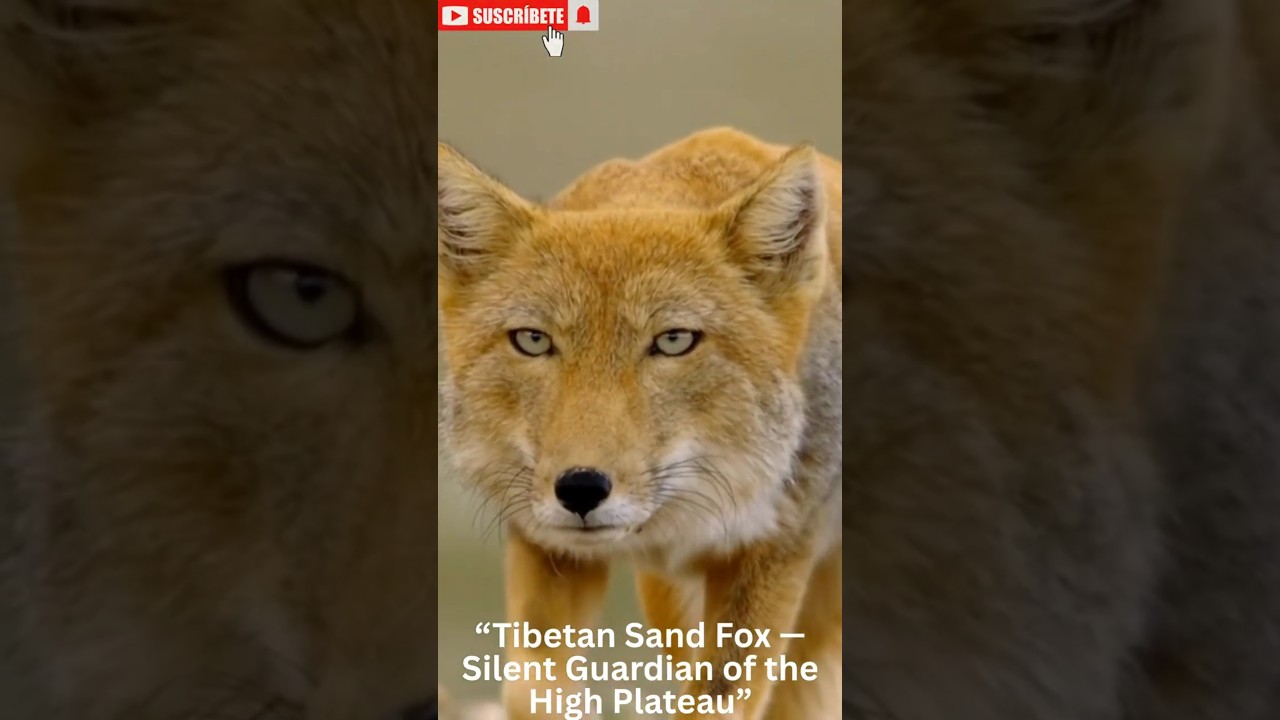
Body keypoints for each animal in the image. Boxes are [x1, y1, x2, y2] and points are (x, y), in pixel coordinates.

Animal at [436, 127, 843, 720]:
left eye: (673, 341)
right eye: (532, 340)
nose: (581, 488)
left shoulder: (775, 549)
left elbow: (720, 701)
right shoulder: (545, 543)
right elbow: (531, 692)